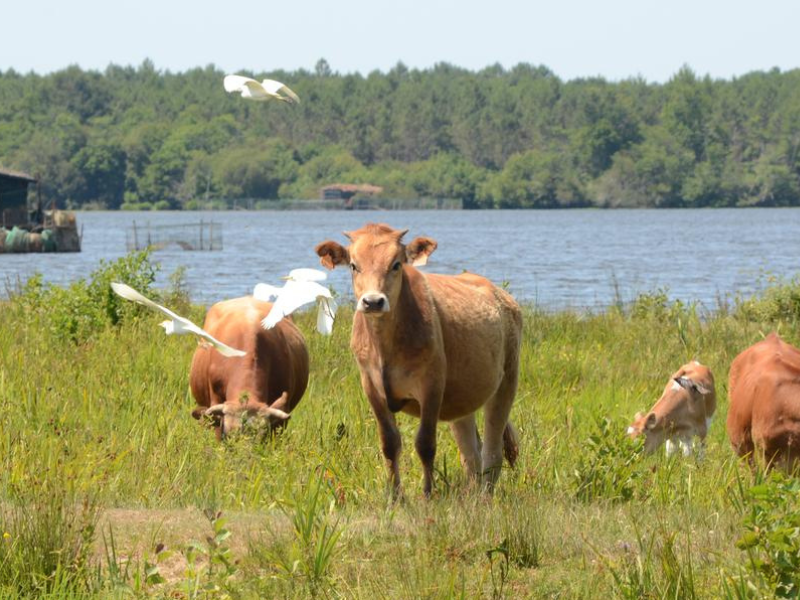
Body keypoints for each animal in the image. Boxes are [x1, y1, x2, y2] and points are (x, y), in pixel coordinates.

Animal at [315, 223, 522, 497]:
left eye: (396, 264)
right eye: (353, 265)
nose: (373, 301)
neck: (384, 346)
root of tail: (500, 293)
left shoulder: (432, 386)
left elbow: (425, 443)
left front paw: (427, 494)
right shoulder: (371, 387)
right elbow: (389, 443)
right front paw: (395, 496)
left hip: (507, 380)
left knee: (492, 451)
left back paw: (484, 497)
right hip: (462, 397)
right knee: (471, 453)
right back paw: (471, 495)